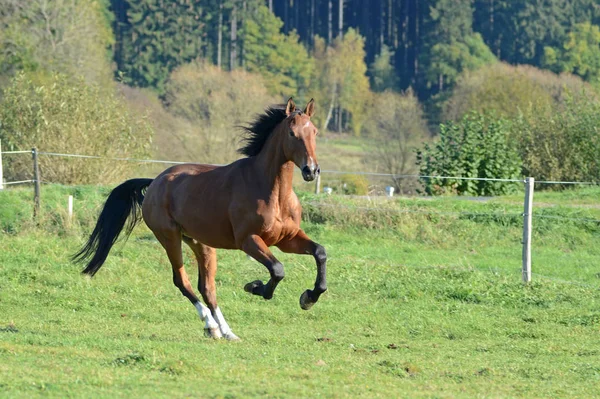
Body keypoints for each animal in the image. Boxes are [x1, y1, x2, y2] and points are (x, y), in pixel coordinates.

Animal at [75, 97, 330, 340]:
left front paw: (309, 298)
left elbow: (320, 252)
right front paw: (255, 286)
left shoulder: (287, 239)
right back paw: (211, 325)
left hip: (201, 243)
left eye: (315, 132)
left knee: (207, 288)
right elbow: (277, 269)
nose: (311, 170)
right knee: (182, 281)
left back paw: (225, 332)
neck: (272, 192)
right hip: (170, 238)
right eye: (292, 133)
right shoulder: (249, 240)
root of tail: (155, 181)